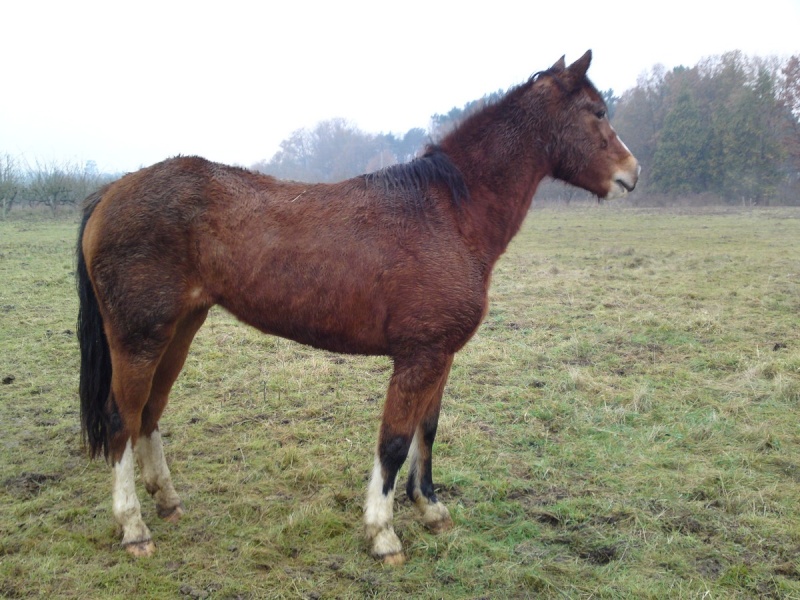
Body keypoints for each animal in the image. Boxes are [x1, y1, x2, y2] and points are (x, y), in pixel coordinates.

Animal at [75, 50, 636, 564]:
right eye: (598, 111)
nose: (631, 173)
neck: (448, 214)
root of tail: (112, 191)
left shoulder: (441, 356)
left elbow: (426, 432)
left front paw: (431, 510)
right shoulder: (418, 357)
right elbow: (393, 442)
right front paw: (383, 533)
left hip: (179, 329)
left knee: (149, 413)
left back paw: (167, 501)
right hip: (139, 338)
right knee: (122, 419)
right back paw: (134, 528)